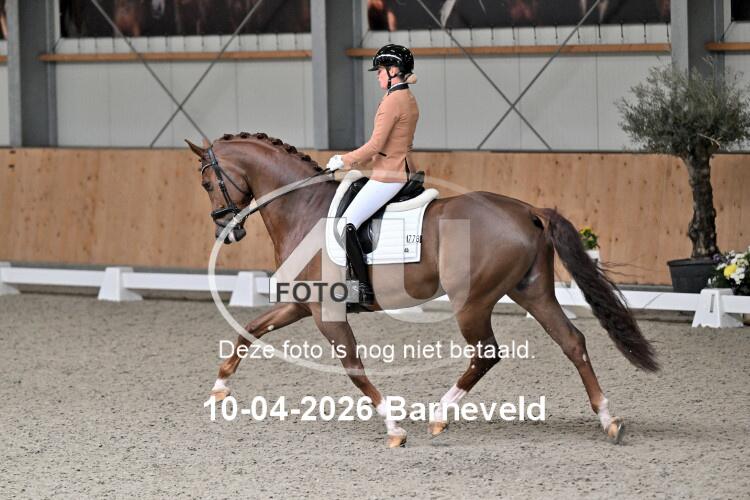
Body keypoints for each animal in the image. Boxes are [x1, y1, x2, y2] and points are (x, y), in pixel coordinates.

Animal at [187, 133, 659, 448]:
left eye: (208, 182)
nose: (226, 229)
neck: (305, 210)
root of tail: (528, 210)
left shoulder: (326, 314)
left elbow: (354, 368)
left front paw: (394, 427)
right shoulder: (304, 306)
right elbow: (249, 330)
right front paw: (219, 387)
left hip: (472, 302)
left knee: (487, 353)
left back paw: (439, 414)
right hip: (532, 292)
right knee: (572, 341)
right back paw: (608, 419)